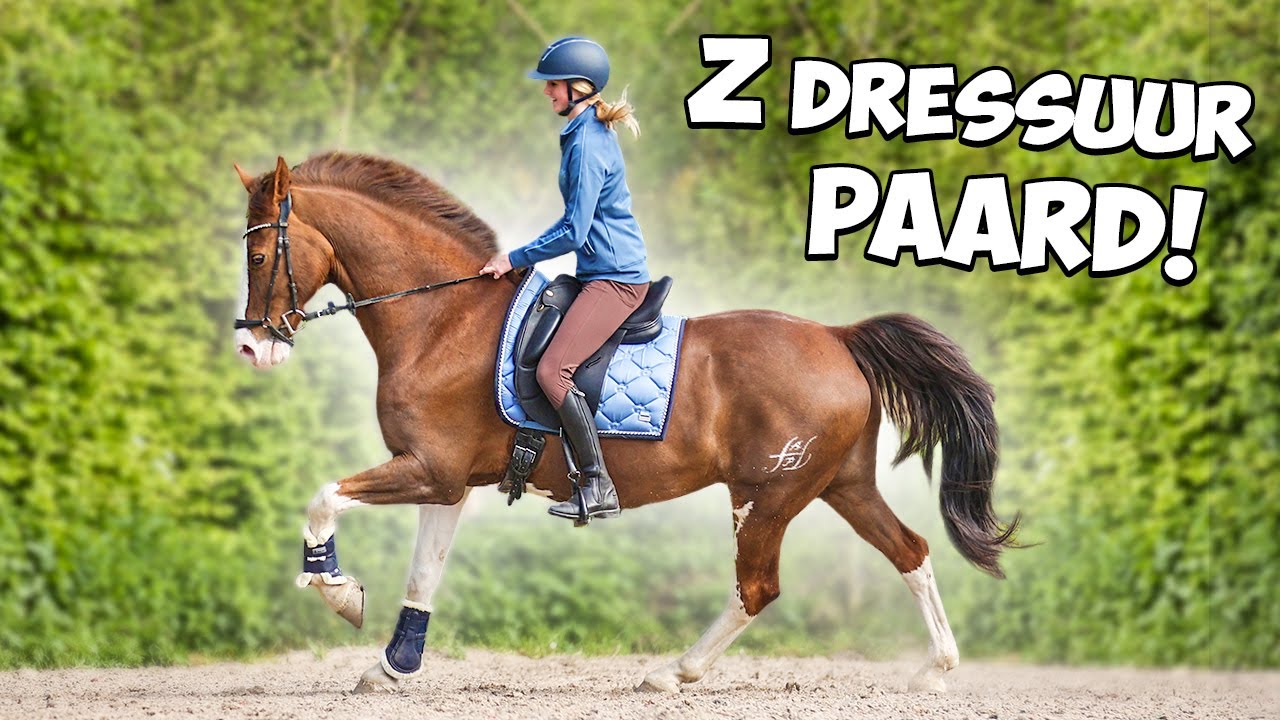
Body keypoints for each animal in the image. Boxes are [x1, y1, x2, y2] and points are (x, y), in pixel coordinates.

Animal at [231, 152, 1019, 694]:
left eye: (260, 252)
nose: (252, 347)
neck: (440, 318)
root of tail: (838, 337)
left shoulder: (428, 469)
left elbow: (323, 498)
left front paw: (337, 591)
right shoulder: (446, 481)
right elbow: (425, 572)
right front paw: (394, 667)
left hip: (767, 496)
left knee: (758, 588)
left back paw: (672, 673)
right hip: (841, 484)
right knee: (910, 551)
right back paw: (937, 669)